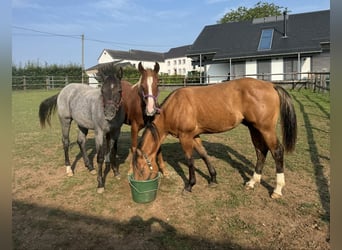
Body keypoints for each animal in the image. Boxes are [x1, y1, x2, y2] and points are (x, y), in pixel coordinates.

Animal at [39, 63, 124, 193]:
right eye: (102, 91)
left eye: (119, 90)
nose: (109, 113)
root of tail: (63, 90)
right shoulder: (99, 133)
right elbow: (100, 157)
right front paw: (100, 184)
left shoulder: (116, 132)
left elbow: (113, 152)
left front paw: (116, 173)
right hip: (65, 121)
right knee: (65, 142)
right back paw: (69, 169)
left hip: (82, 124)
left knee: (81, 141)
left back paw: (90, 167)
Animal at [132, 78, 298, 199]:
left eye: (141, 169)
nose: (138, 186)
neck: (175, 107)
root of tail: (271, 85)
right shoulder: (194, 136)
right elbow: (204, 155)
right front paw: (213, 179)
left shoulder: (185, 137)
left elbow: (190, 160)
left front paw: (190, 185)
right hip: (254, 128)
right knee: (261, 151)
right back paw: (252, 182)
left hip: (266, 129)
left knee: (277, 151)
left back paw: (277, 190)